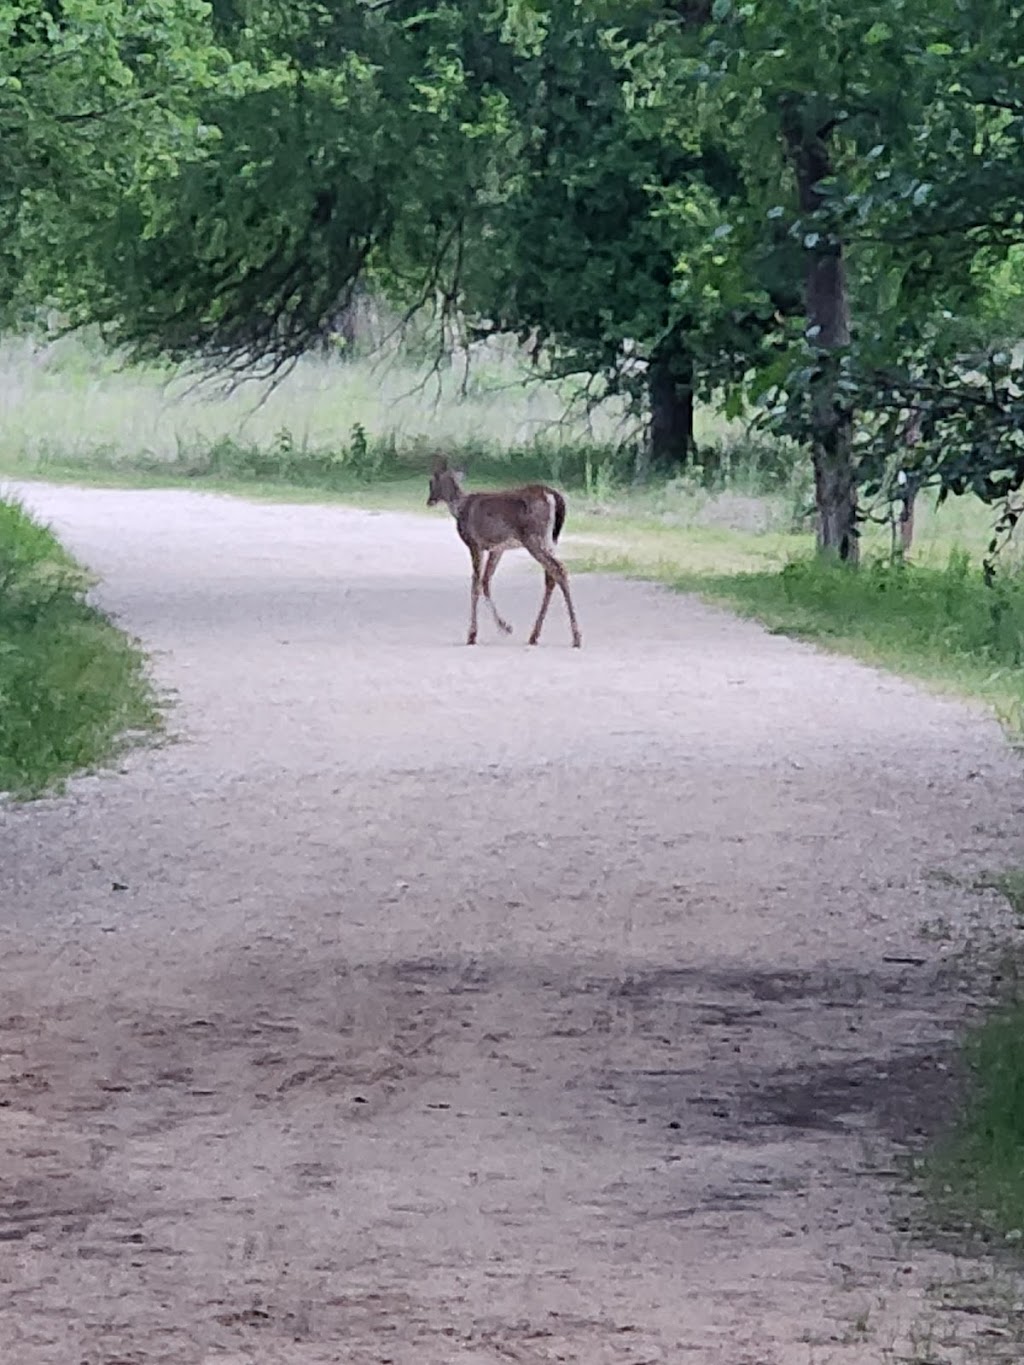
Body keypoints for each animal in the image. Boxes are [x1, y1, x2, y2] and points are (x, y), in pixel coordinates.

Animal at [425, 458, 584, 649]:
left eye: (431, 482)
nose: (430, 501)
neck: (460, 508)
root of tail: (553, 496)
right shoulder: (497, 549)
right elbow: (486, 582)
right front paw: (505, 627)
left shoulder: (475, 543)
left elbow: (475, 584)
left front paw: (472, 634)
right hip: (550, 540)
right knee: (551, 576)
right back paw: (534, 636)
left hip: (533, 538)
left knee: (559, 569)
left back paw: (576, 637)